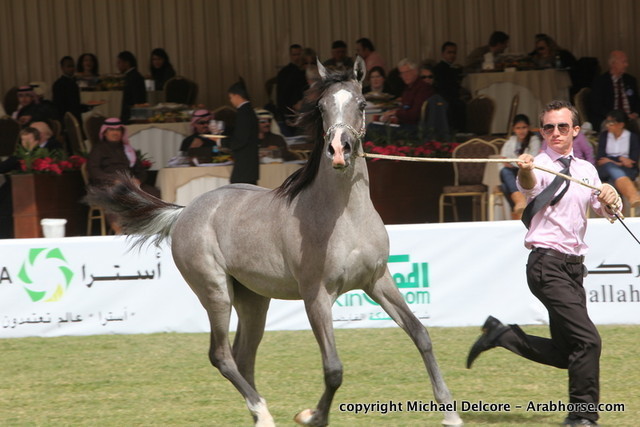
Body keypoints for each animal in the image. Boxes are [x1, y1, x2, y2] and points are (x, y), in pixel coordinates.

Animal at [88, 57, 462, 427]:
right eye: (321, 107)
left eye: (361, 103)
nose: (338, 151)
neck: (344, 217)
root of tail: (184, 212)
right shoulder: (317, 296)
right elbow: (333, 368)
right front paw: (312, 416)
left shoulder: (378, 280)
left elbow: (421, 334)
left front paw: (450, 412)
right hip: (216, 292)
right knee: (221, 356)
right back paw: (263, 412)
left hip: (253, 300)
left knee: (243, 356)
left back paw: (258, 414)